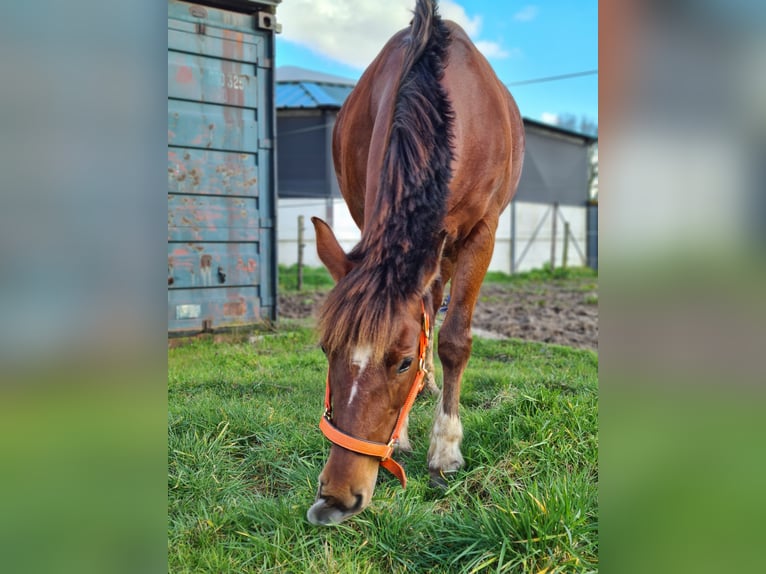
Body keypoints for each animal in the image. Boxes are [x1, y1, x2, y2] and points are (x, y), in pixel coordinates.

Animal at [308, 0, 524, 528]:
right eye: (326, 350)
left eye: (402, 361)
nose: (335, 499)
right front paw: (404, 432)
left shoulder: (482, 233)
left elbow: (453, 339)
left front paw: (445, 449)